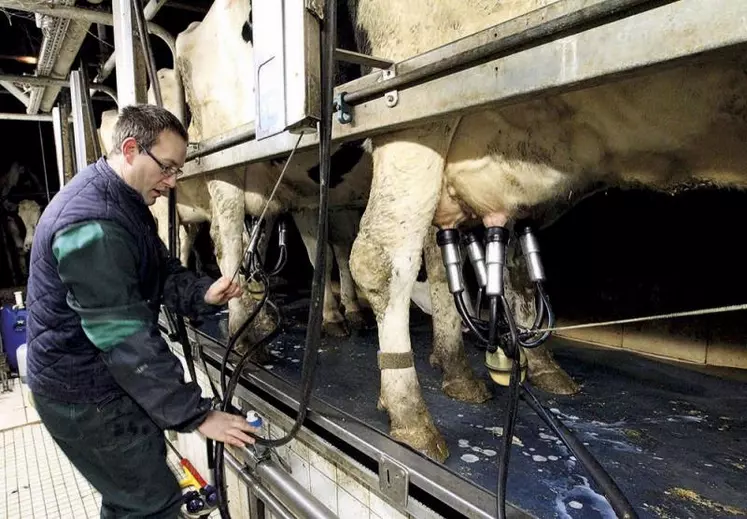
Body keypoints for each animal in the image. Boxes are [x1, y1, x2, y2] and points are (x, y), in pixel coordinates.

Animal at [338, 1, 747, 464]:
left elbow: (516, 268)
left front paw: (535, 363)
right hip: (414, 107)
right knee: (380, 257)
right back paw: (412, 416)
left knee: (445, 254)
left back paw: (461, 371)